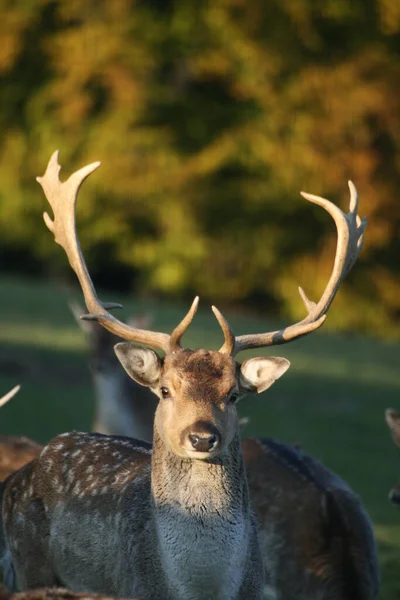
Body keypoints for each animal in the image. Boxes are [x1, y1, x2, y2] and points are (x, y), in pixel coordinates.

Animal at [0, 151, 380, 600]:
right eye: (165, 390)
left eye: (233, 394)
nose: (201, 436)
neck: (198, 586)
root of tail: (22, 473)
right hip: (29, 563)